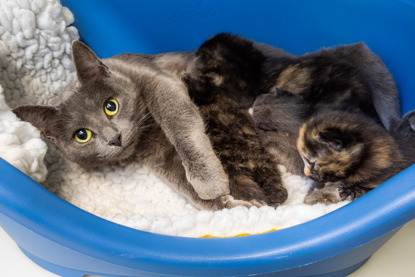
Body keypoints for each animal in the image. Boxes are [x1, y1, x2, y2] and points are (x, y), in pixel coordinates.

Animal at [12, 40, 256, 209]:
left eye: (111, 106)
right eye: (82, 135)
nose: (115, 138)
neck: (145, 133)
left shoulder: (158, 81)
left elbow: (179, 122)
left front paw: (208, 182)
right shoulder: (157, 154)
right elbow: (180, 180)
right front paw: (234, 206)